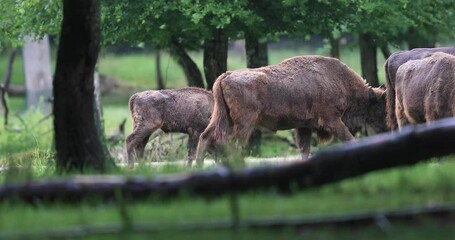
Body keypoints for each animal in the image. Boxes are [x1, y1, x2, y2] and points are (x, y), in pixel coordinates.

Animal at [195, 55, 388, 165]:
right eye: (382, 108)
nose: (387, 128)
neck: (341, 81)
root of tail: (226, 75)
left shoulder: (304, 127)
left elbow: (304, 150)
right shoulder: (332, 120)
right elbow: (349, 139)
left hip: (224, 118)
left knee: (206, 137)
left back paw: (199, 165)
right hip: (244, 123)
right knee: (234, 144)